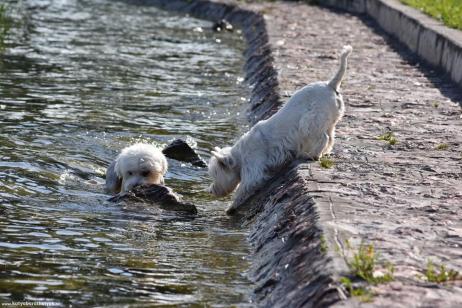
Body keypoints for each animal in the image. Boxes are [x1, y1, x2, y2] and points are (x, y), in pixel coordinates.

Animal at [208, 45, 352, 214]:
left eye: (215, 174)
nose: (211, 190)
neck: (239, 156)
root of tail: (330, 85)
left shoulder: (253, 169)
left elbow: (245, 188)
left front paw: (231, 207)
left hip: (310, 122)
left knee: (323, 138)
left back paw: (311, 155)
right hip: (328, 121)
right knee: (330, 137)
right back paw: (322, 152)